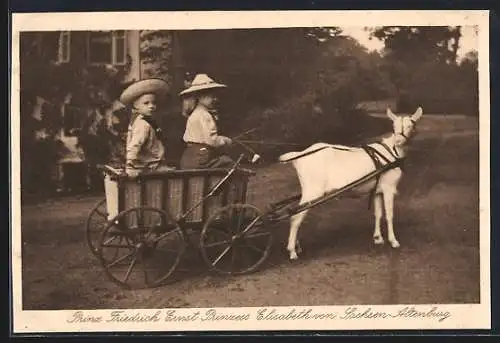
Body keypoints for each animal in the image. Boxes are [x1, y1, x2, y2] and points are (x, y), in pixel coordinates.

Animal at [280, 107, 424, 260]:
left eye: (410, 125)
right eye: (394, 125)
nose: (398, 141)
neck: (390, 151)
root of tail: (299, 156)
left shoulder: (377, 190)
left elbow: (378, 213)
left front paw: (378, 238)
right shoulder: (389, 188)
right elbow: (389, 215)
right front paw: (393, 241)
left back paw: (297, 247)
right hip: (313, 191)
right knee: (295, 217)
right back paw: (292, 251)